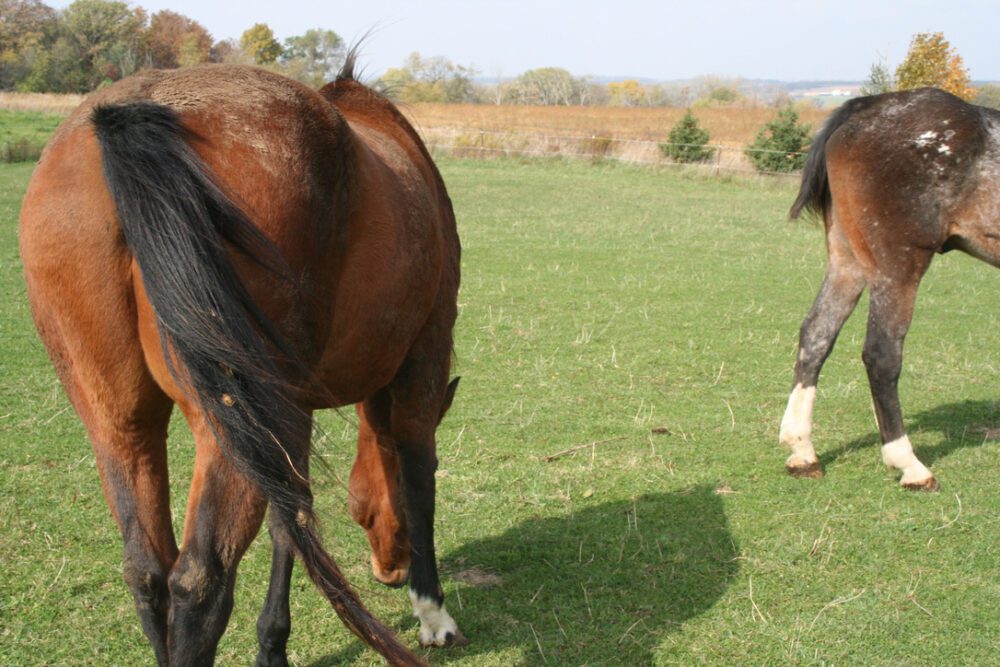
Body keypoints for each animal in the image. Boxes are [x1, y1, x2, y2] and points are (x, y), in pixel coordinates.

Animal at [18, 58, 464, 667]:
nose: (389, 571)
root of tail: (133, 111)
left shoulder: (292, 413)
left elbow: (291, 516)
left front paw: (273, 643)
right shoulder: (425, 354)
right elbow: (418, 476)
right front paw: (432, 612)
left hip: (121, 422)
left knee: (147, 571)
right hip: (227, 424)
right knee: (199, 580)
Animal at [780, 86, 1000, 488]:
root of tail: (866, 107)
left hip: (847, 262)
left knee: (816, 335)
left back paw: (802, 450)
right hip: (897, 270)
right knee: (881, 354)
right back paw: (908, 464)